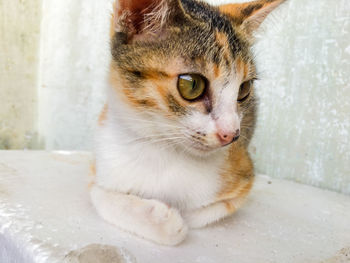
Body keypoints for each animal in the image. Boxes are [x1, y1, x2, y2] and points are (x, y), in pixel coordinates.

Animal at [91, 0, 286, 246]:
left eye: (244, 89)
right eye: (192, 85)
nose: (231, 134)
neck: (163, 151)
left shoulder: (245, 175)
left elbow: (206, 211)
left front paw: (178, 215)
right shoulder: (102, 158)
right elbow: (99, 195)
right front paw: (162, 219)